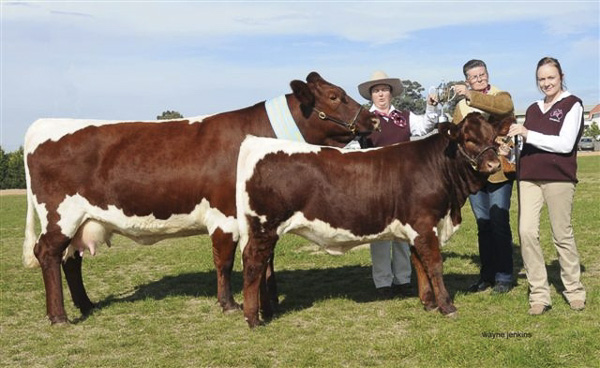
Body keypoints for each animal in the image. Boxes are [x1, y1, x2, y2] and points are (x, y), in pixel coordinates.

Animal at [24, 72, 380, 324]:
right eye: (334, 96)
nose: (373, 119)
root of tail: (41, 125)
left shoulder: (261, 214)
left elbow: (266, 260)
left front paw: (271, 302)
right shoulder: (225, 215)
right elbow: (224, 261)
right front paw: (230, 304)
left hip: (80, 220)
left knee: (71, 261)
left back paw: (86, 305)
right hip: (60, 216)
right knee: (47, 254)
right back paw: (59, 317)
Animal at [237, 113, 512, 328]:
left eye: (494, 139)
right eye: (469, 139)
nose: (493, 164)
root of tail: (255, 142)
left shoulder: (415, 228)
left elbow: (418, 264)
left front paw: (429, 303)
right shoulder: (425, 225)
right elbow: (434, 265)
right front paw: (447, 306)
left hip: (265, 230)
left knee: (263, 266)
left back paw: (266, 311)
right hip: (264, 227)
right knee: (252, 263)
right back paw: (252, 318)